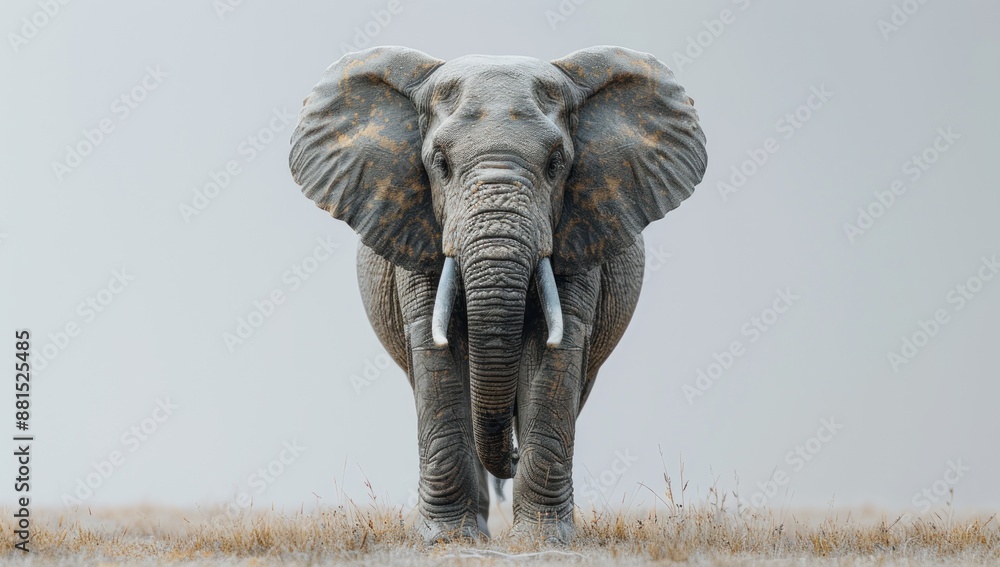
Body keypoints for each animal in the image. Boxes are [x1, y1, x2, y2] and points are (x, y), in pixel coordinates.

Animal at [288, 45, 707, 543]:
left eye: (556, 164)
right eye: (440, 164)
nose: (511, 454)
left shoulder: (579, 233)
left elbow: (554, 354)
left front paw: (541, 541)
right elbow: (437, 353)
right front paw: (448, 540)